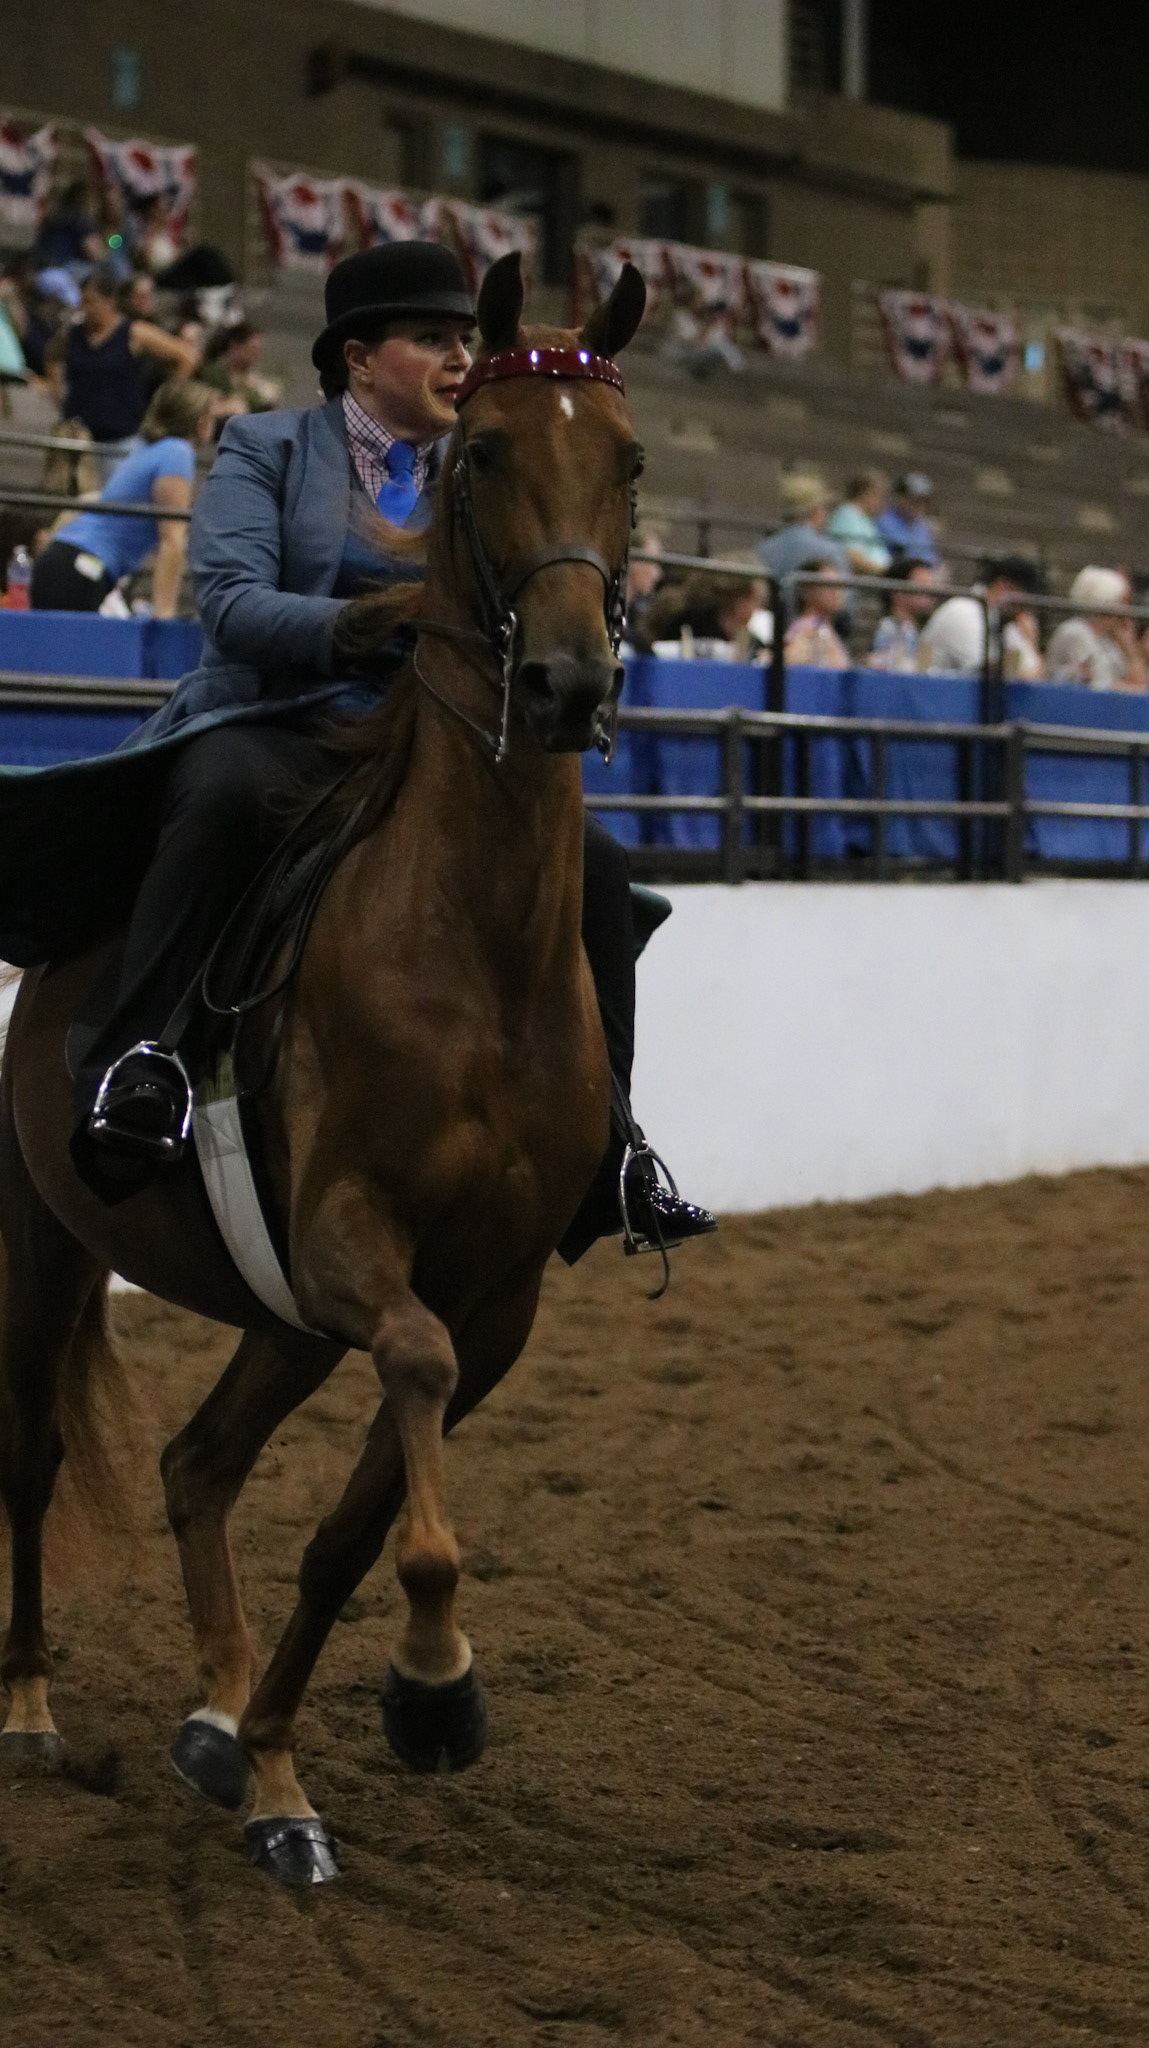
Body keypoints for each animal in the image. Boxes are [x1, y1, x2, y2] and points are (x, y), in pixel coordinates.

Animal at [0, 250, 649, 1886]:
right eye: (481, 454)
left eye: (626, 461)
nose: (568, 683)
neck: (473, 949)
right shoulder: (358, 1238)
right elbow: (407, 1405)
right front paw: (432, 1686)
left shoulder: (493, 1297)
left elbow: (350, 1535)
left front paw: (287, 1761)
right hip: (47, 1238)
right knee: (33, 1453)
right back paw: (32, 1709)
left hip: (280, 1313)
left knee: (196, 1463)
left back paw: (225, 1724)